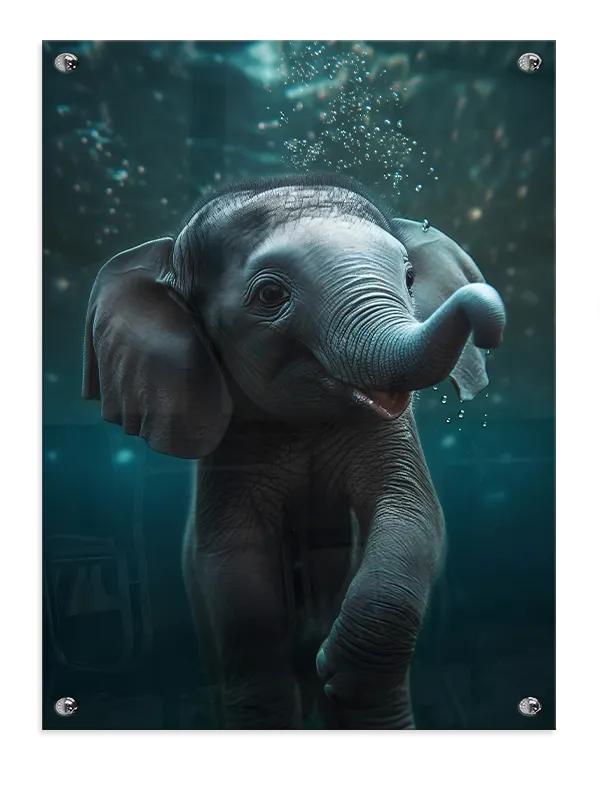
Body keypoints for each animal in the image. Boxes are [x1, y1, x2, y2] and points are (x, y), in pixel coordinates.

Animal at [83, 174, 506, 730]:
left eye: (410, 277)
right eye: (270, 295)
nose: (489, 318)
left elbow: (413, 514)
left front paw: (339, 671)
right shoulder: (232, 447)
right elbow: (235, 559)